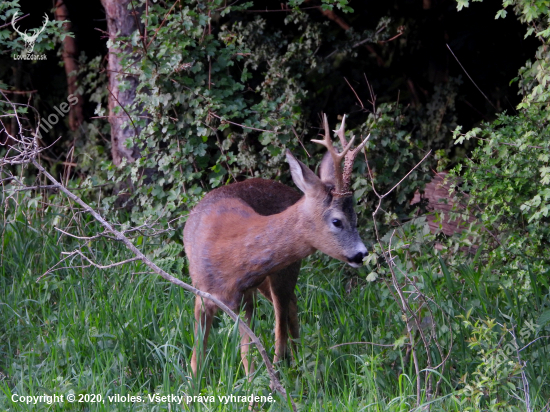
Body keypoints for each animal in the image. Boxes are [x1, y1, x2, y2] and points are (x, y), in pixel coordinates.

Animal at [185, 113, 370, 376]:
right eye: (337, 221)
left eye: (356, 218)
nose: (361, 254)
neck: (227, 256)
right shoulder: (201, 295)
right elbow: (197, 358)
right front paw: (191, 386)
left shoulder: (245, 299)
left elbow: (248, 355)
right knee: (288, 309)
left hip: (284, 270)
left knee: (283, 317)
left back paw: (294, 362)